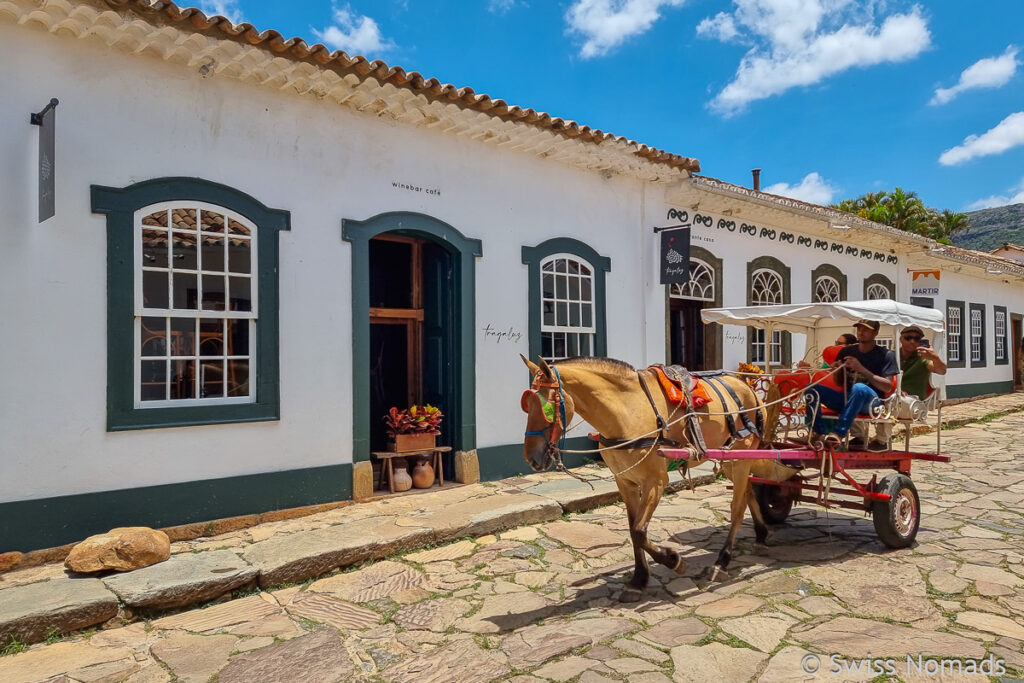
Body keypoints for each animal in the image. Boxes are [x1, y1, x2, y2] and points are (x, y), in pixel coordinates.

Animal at [520, 356, 798, 602]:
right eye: (525, 405)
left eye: (545, 407)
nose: (531, 458)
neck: (628, 410)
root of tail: (748, 387)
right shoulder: (625, 482)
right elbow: (633, 530)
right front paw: (639, 580)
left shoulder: (655, 482)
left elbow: (640, 531)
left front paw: (673, 560)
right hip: (732, 459)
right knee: (749, 492)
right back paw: (760, 535)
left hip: (741, 456)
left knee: (737, 508)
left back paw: (722, 561)